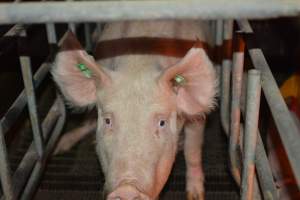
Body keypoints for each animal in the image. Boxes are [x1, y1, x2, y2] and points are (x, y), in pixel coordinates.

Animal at [51, 20, 216, 200]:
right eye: (107, 121)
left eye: (162, 123)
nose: (127, 189)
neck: (138, 64)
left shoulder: (197, 115)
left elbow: (192, 150)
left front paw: (196, 195)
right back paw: (59, 147)